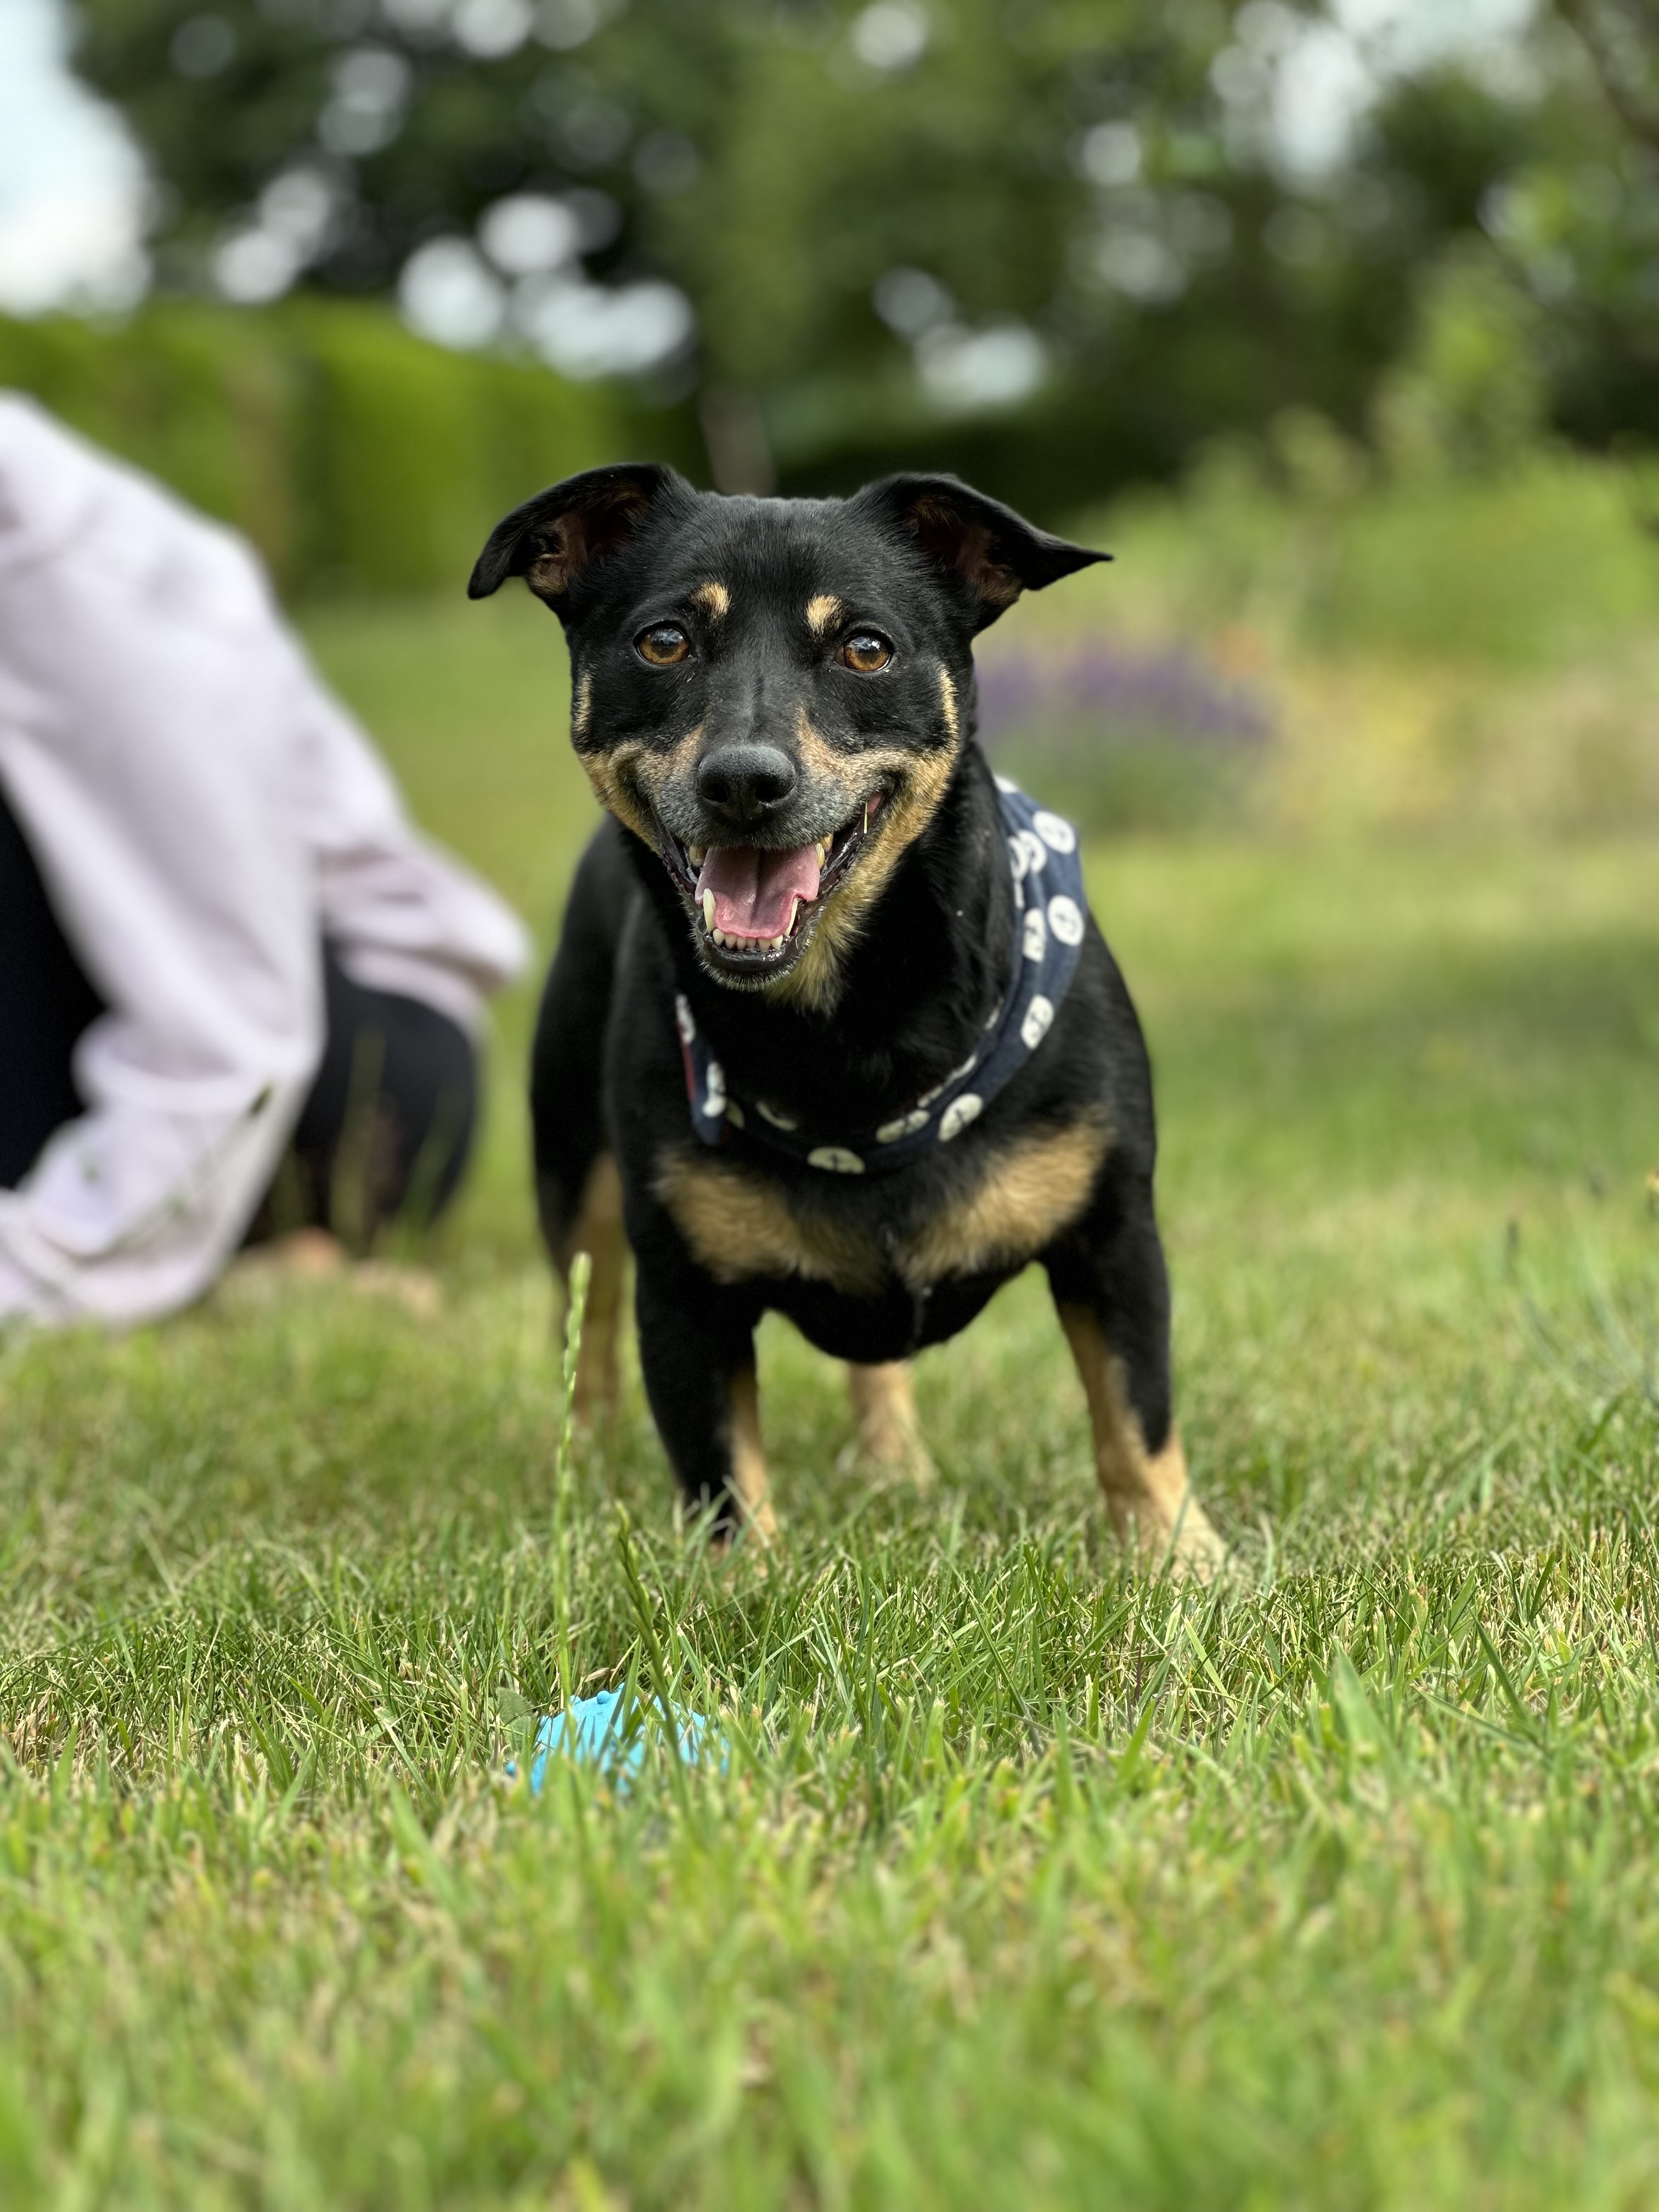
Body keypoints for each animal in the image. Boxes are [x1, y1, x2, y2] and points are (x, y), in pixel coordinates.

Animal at [473, 466, 1229, 1575]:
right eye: (664, 641)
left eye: (865, 647)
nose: (744, 781)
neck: (848, 1031)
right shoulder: (681, 1287)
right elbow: (718, 1464)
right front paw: (745, 1584)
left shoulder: (1114, 1232)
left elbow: (1135, 1416)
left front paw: (1184, 1561)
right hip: (571, 1164)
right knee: (590, 1326)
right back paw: (589, 1460)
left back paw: (890, 1461)